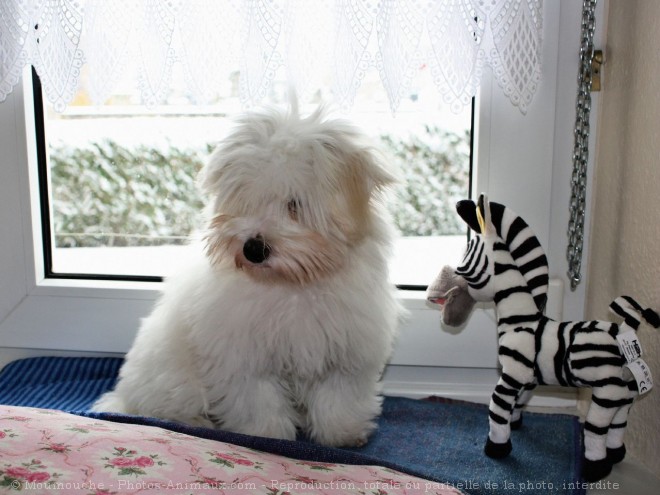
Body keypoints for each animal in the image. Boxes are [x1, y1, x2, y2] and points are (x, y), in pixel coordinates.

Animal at [93, 102, 402, 448]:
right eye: (245, 199)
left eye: (294, 204)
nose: (253, 248)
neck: (293, 285)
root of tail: (124, 396)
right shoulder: (242, 354)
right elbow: (258, 399)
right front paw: (266, 435)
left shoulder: (346, 349)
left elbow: (338, 396)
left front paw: (342, 434)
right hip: (172, 379)